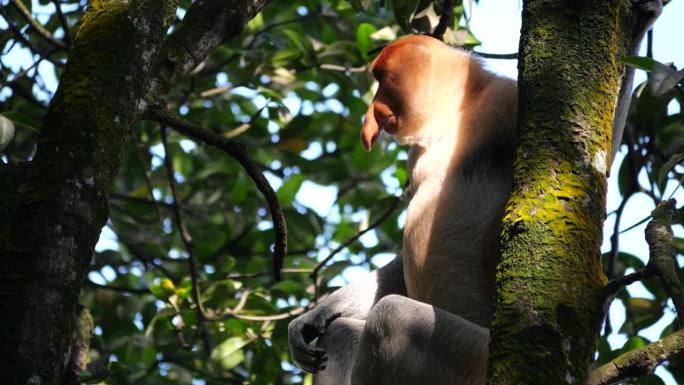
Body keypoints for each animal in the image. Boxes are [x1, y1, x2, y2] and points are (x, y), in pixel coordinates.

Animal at [288, 2, 664, 380]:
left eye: (382, 81)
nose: (372, 113)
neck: (454, 116)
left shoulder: (507, 100)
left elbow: (590, 158)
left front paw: (641, 24)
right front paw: (311, 319)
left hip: (472, 357)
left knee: (391, 316)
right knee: (340, 335)